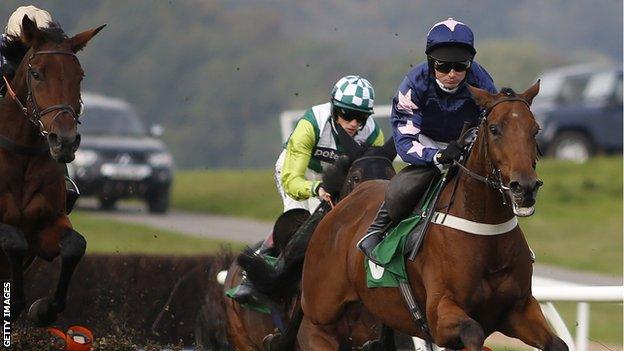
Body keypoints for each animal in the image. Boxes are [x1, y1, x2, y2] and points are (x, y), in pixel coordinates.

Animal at [0, 15, 104, 326]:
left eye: (79, 76)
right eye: (36, 74)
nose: (65, 141)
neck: (22, 152)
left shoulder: (47, 226)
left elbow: (74, 245)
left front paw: (42, 308)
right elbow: (14, 241)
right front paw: (16, 303)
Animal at [298, 83, 572, 351]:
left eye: (535, 129)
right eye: (494, 129)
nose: (524, 187)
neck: (487, 232)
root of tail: (340, 206)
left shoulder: (519, 310)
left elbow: (557, 343)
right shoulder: (439, 315)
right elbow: (473, 332)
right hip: (321, 319)